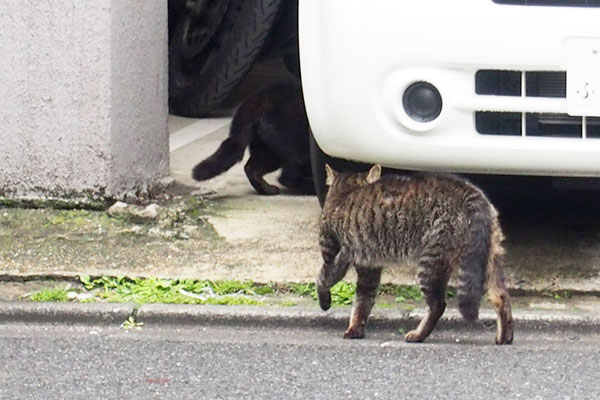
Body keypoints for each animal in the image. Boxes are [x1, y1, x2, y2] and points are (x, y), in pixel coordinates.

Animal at [316, 164, 512, 346]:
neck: (346, 191)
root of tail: (471, 192)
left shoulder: (331, 254)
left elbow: (322, 280)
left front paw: (325, 303)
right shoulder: (369, 268)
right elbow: (362, 302)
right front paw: (355, 329)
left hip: (430, 262)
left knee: (438, 305)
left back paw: (418, 335)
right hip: (490, 258)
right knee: (501, 297)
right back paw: (505, 337)